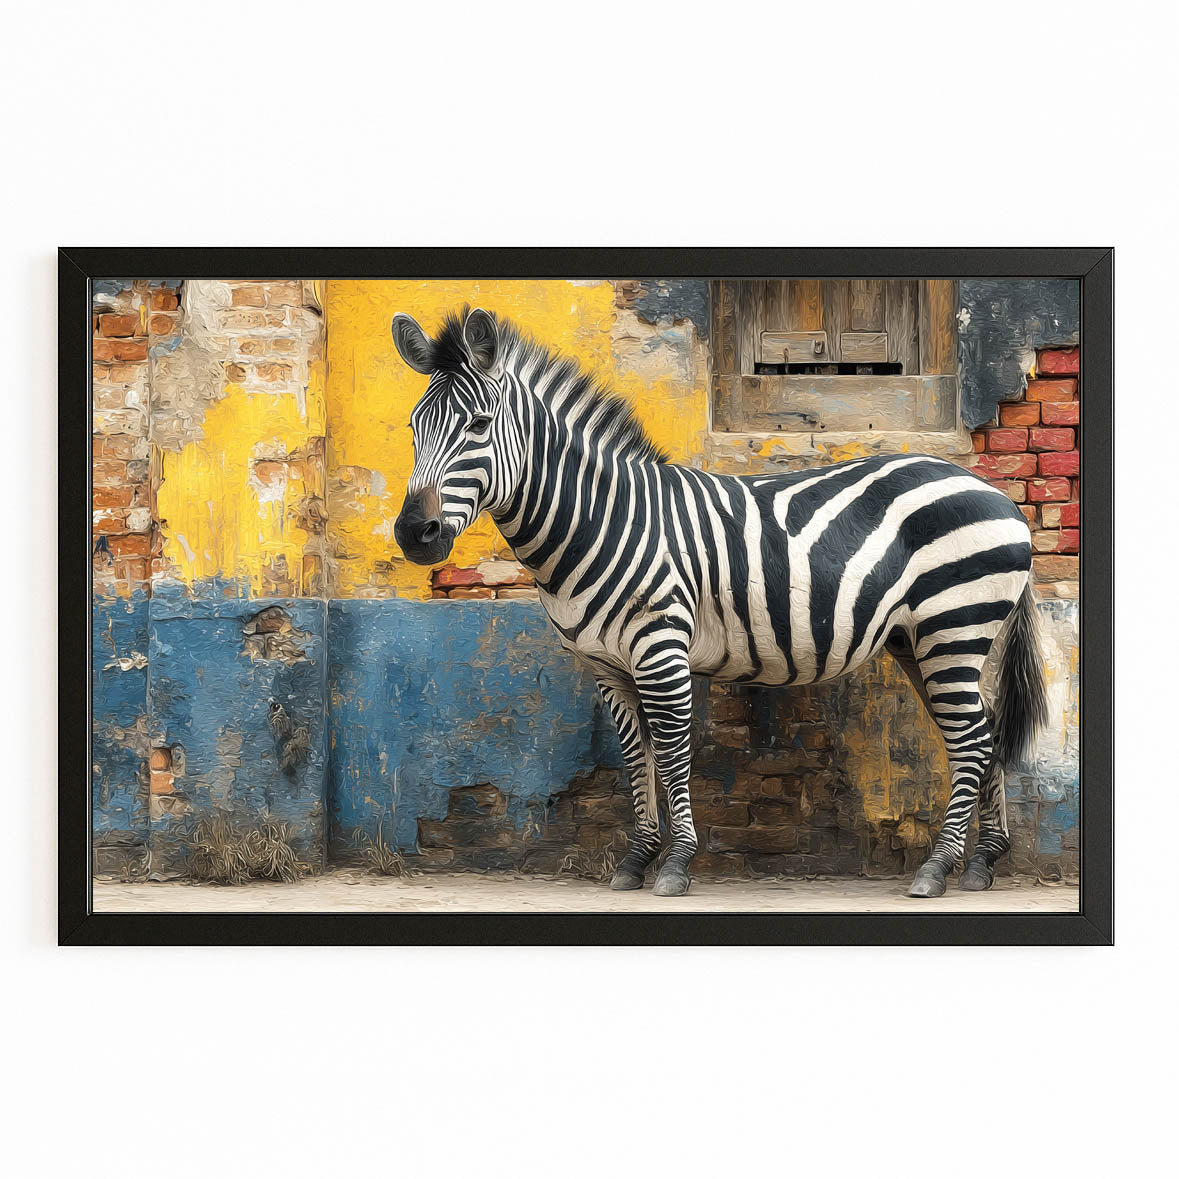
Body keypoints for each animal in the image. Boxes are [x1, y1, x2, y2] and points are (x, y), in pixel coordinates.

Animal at [392, 306, 1048, 898]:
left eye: (478, 425)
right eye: (413, 427)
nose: (414, 534)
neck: (601, 520)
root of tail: (995, 492)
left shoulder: (660, 649)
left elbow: (673, 751)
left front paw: (677, 864)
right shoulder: (606, 665)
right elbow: (637, 755)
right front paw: (637, 859)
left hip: (952, 625)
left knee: (971, 739)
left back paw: (938, 868)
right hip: (925, 639)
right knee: (983, 730)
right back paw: (981, 861)